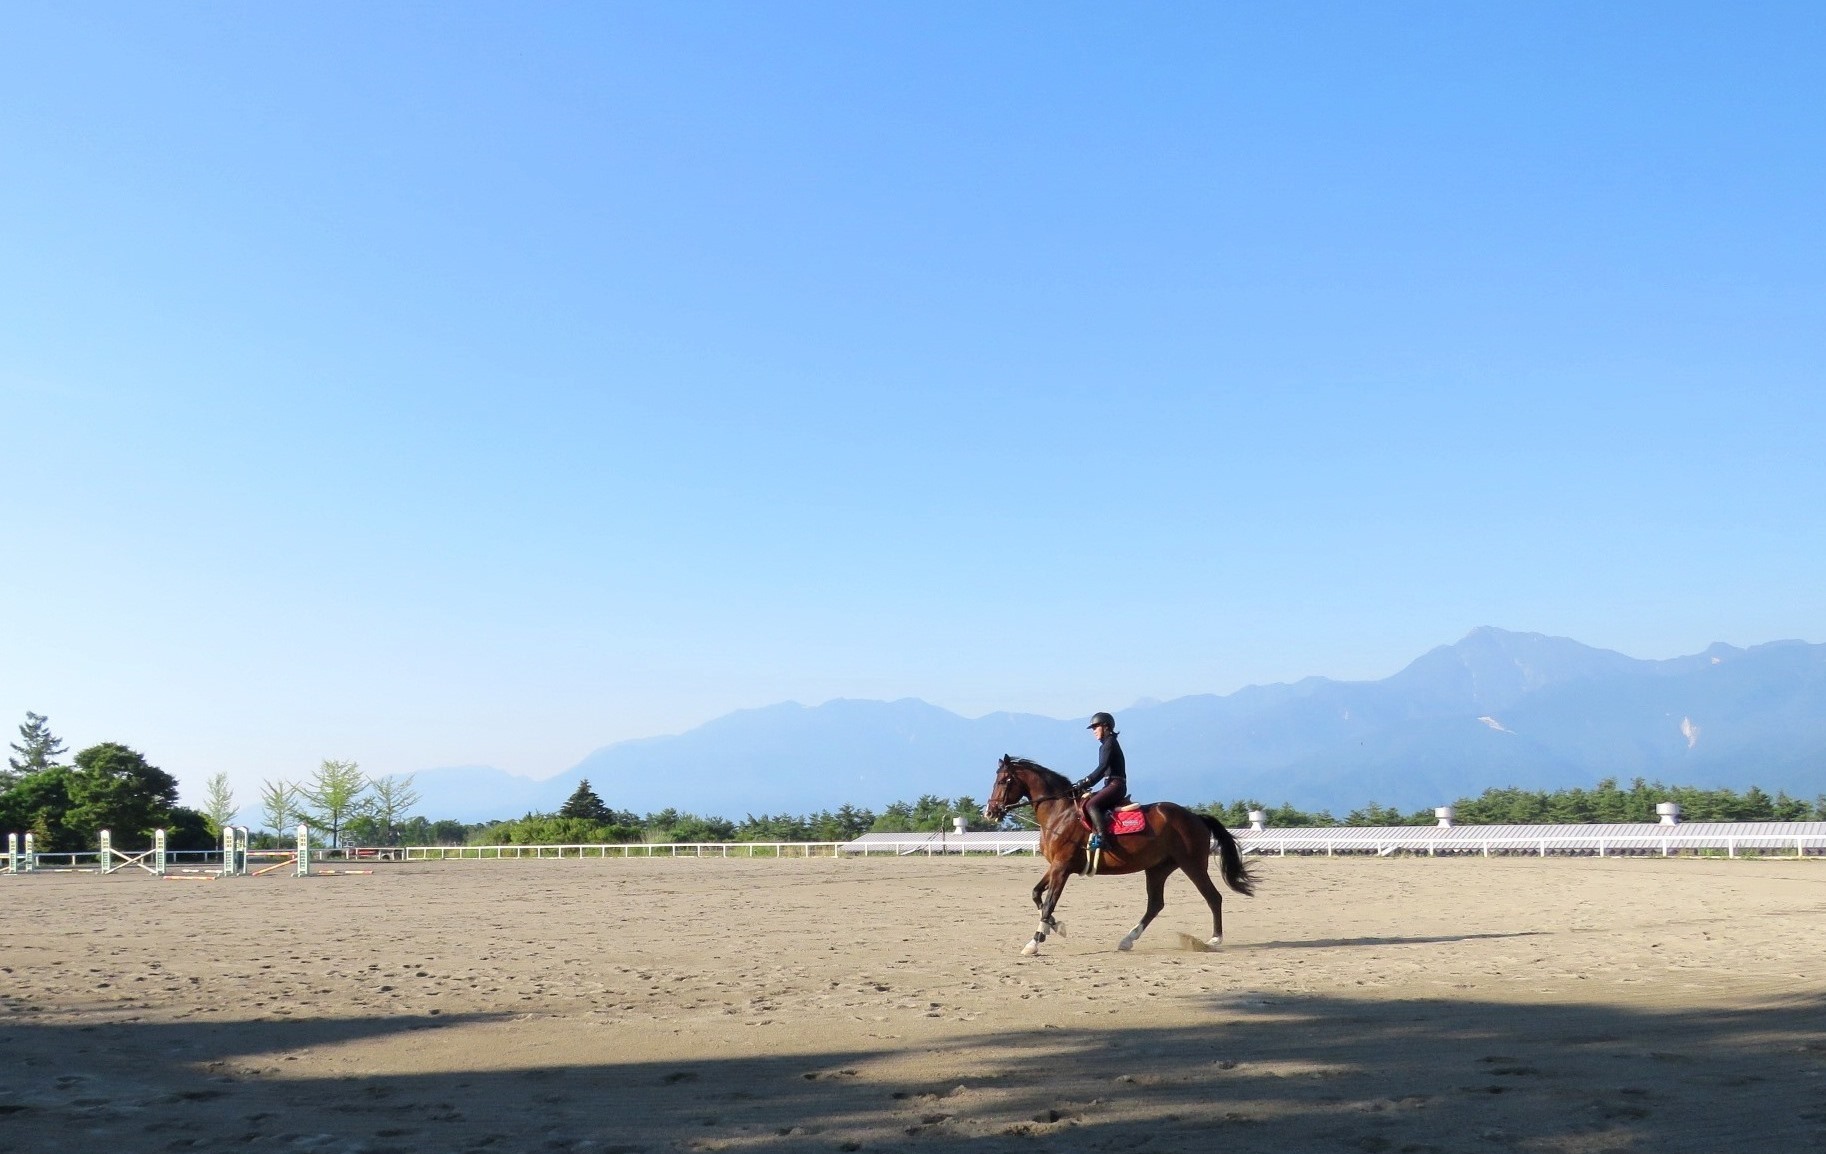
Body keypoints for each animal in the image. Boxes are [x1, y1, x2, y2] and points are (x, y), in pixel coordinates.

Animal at [986, 752, 1256, 949]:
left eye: (1003, 781)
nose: (990, 812)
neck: (1059, 812)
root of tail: (1195, 817)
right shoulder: (1055, 866)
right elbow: (1037, 896)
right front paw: (1055, 927)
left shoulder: (1062, 868)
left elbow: (1049, 903)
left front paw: (1034, 942)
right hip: (1158, 869)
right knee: (1155, 904)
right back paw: (1128, 940)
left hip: (1192, 865)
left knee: (1213, 897)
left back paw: (1215, 939)